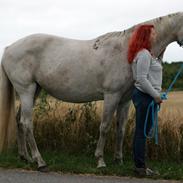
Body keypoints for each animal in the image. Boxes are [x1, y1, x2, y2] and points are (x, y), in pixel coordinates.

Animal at [0, 12, 182, 171]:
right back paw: (40, 161)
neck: (127, 50)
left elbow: (121, 129)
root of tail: (9, 48)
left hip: (34, 90)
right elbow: (105, 127)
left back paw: (26, 157)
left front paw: (119, 160)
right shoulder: (111, 96)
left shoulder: (124, 100)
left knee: (19, 121)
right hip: (26, 90)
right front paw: (100, 161)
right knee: (26, 123)